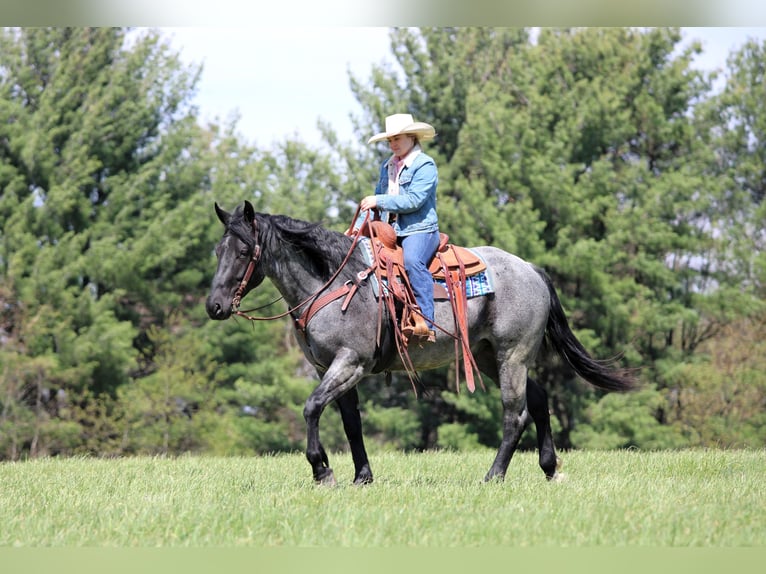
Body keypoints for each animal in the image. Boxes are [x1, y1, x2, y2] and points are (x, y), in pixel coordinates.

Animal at [206, 201, 636, 485]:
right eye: (218, 250)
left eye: (243, 250)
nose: (215, 306)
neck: (333, 280)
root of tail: (530, 268)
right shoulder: (328, 367)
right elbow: (350, 423)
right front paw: (362, 477)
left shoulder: (350, 362)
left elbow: (311, 407)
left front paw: (322, 469)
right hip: (489, 357)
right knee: (540, 399)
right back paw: (549, 468)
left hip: (512, 355)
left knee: (516, 414)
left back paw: (493, 476)